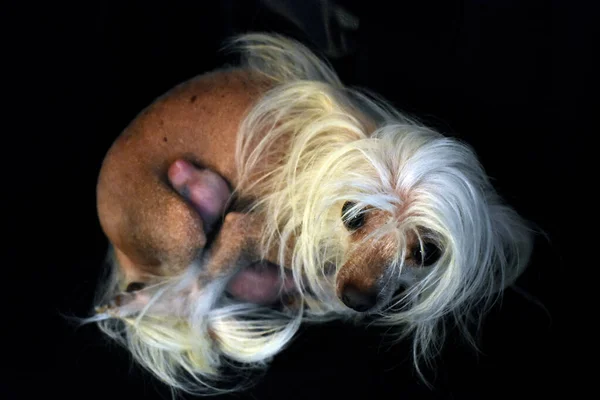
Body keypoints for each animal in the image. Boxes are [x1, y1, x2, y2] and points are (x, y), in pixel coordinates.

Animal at [86, 33, 532, 394]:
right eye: (352, 214)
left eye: (427, 253)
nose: (357, 299)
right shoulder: (247, 230)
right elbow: (193, 297)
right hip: (181, 230)